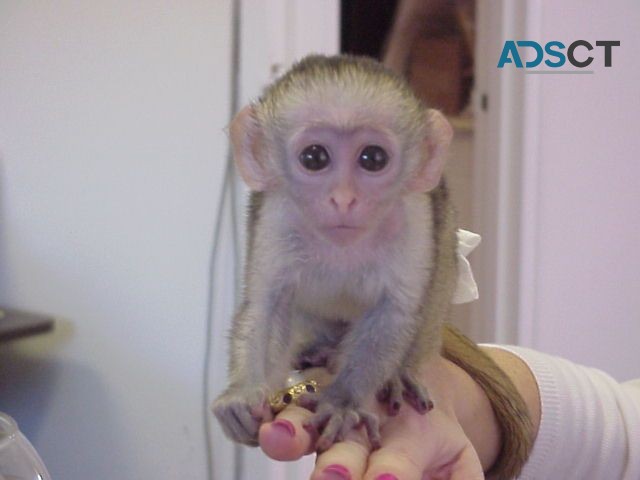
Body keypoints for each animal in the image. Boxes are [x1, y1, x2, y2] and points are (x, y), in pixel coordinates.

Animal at [212, 55, 532, 468]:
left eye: (373, 159)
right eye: (314, 158)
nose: (344, 199)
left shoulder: (413, 217)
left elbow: (394, 311)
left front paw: (342, 402)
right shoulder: (276, 216)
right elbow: (267, 305)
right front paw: (242, 393)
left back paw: (398, 374)